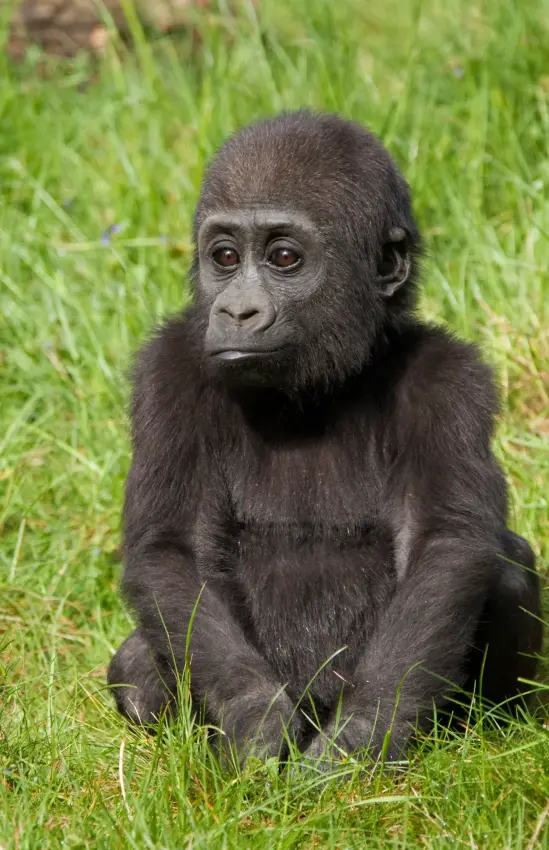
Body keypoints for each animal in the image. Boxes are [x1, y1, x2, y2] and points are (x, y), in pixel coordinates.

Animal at [108, 110, 543, 766]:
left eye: (284, 257)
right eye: (225, 256)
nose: (236, 312)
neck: (324, 382)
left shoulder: (450, 380)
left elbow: (445, 544)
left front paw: (360, 735)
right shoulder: (169, 372)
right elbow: (173, 549)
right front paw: (256, 721)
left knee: (507, 567)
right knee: (134, 668)